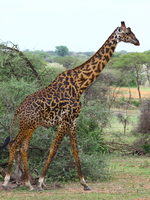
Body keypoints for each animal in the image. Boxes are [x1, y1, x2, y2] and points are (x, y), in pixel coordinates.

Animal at [1, 21, 139, 191]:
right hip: (27, 124)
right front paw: (40, 182)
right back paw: (7, 182)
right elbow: (53, 149)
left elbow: (75, 150)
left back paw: (28, 184)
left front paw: (85, 183)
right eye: (127, 33)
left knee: (24, 148)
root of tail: (19, 107)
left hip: (31, 125)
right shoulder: (65, 120)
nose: (137, 42)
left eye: (132, 32)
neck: (81, 84)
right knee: (14, 143)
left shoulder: (73, 121)